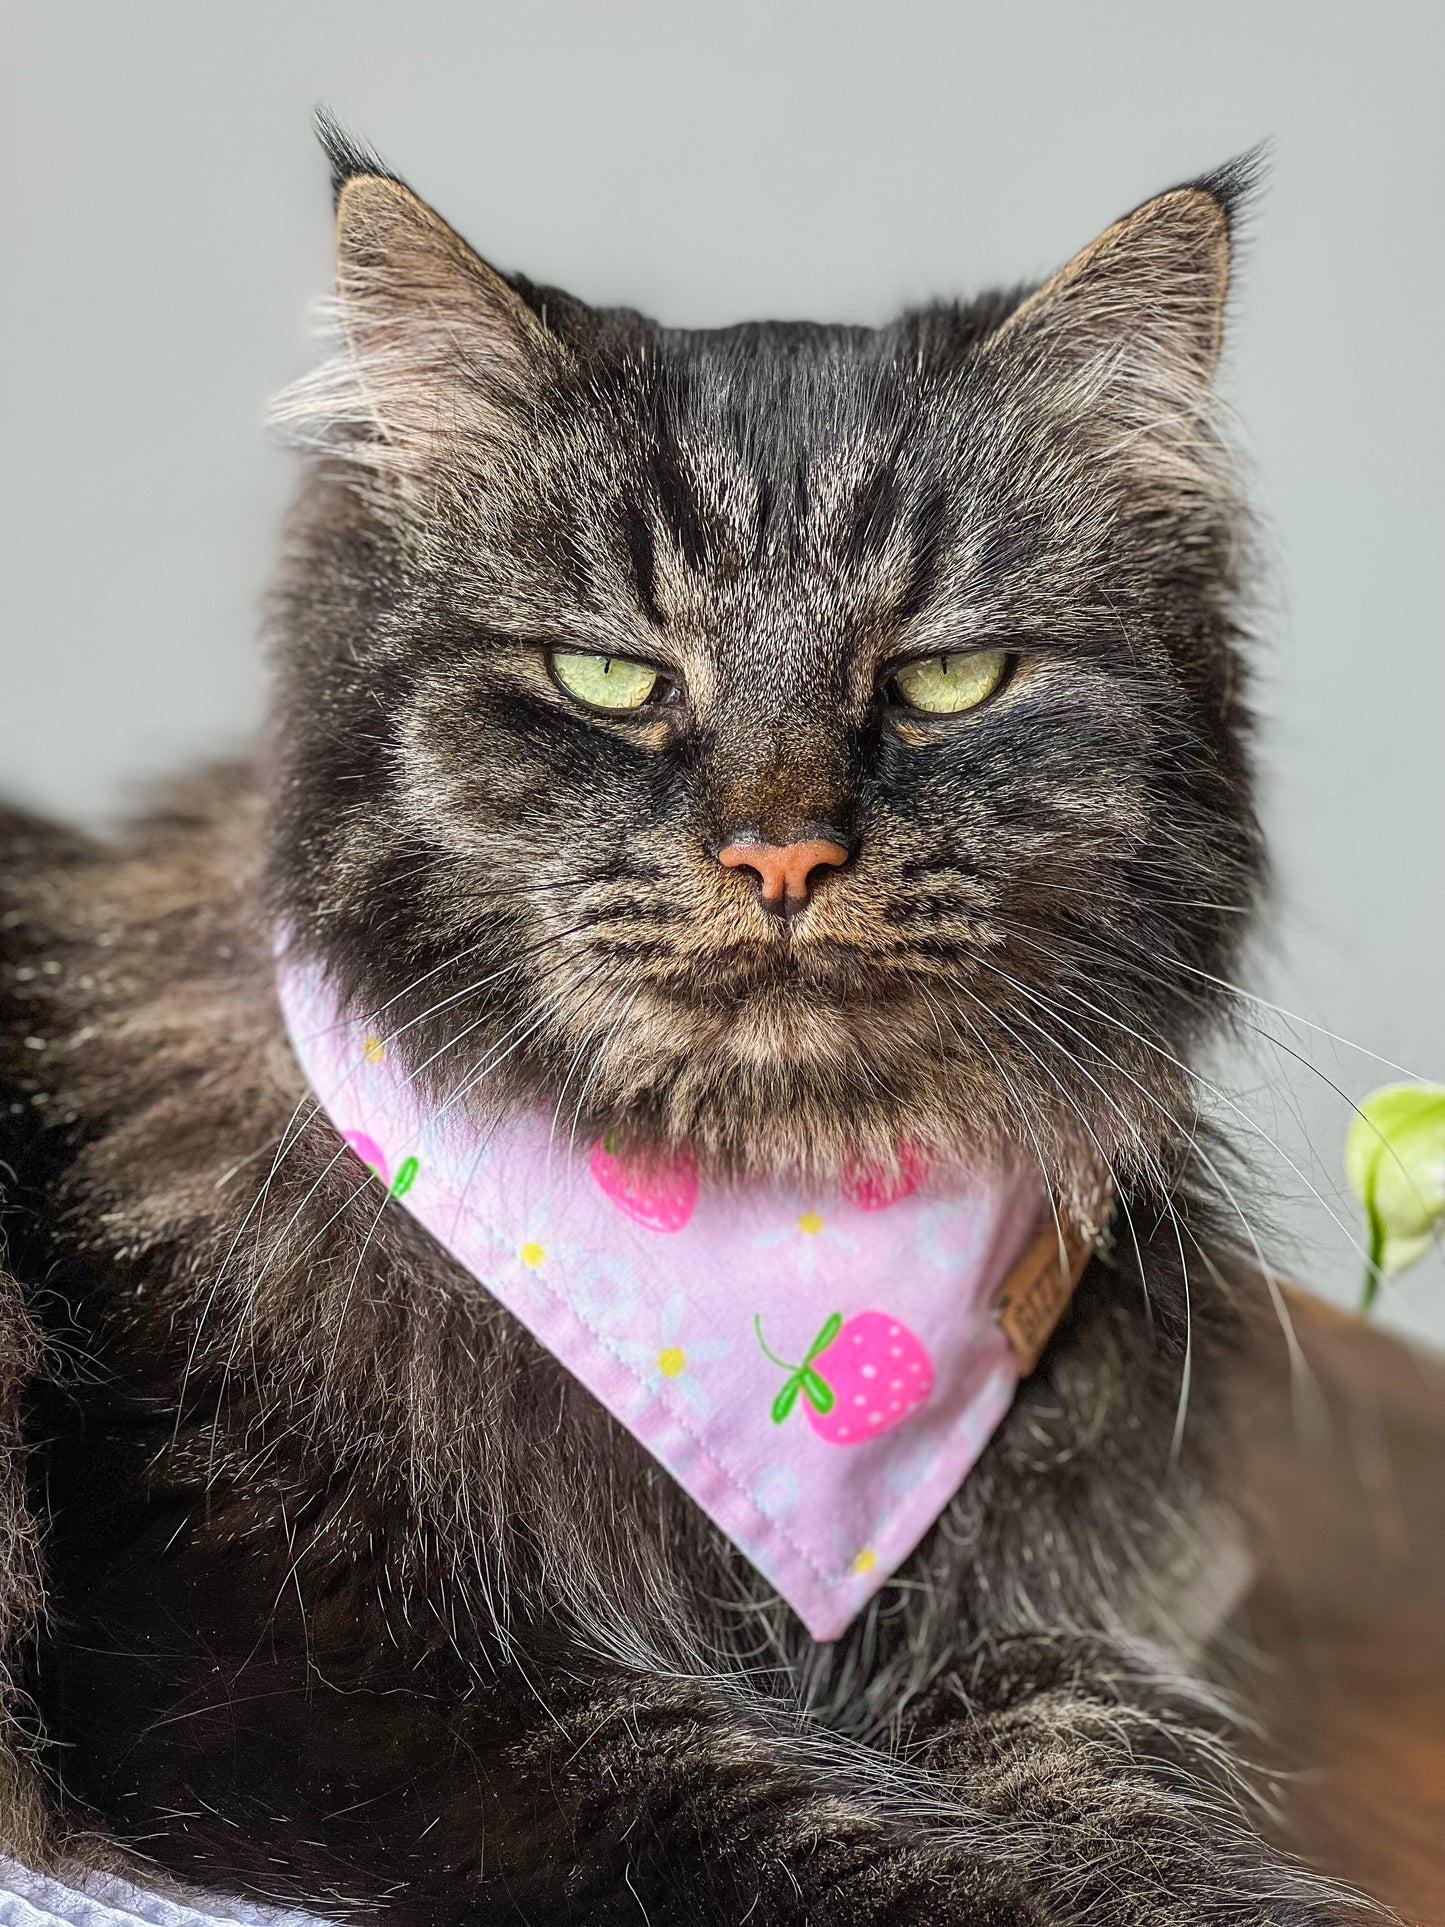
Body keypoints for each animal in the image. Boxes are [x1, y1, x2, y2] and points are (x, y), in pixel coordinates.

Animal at [0, 128, 1371, 1919]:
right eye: (606, 675)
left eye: (946, 681)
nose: (781, 853)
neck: (753, 1214)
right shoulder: (285, 1642)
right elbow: (780, 1808)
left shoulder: (1041, 1631)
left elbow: (1108, 1769)